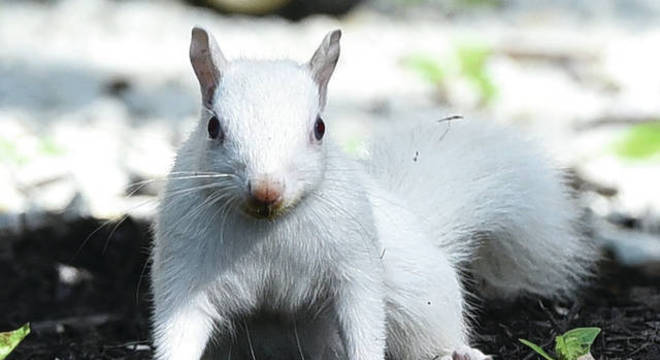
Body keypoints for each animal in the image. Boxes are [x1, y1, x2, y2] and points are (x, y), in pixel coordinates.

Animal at [151, 28, 600, 360]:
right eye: (213, 127)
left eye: (320, 128)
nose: (266, 189)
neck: (268, 227)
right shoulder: (186, 273)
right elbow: (180, 328)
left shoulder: (355, 265)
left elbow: (364, 319)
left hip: (416, 300)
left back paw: (456, 352)